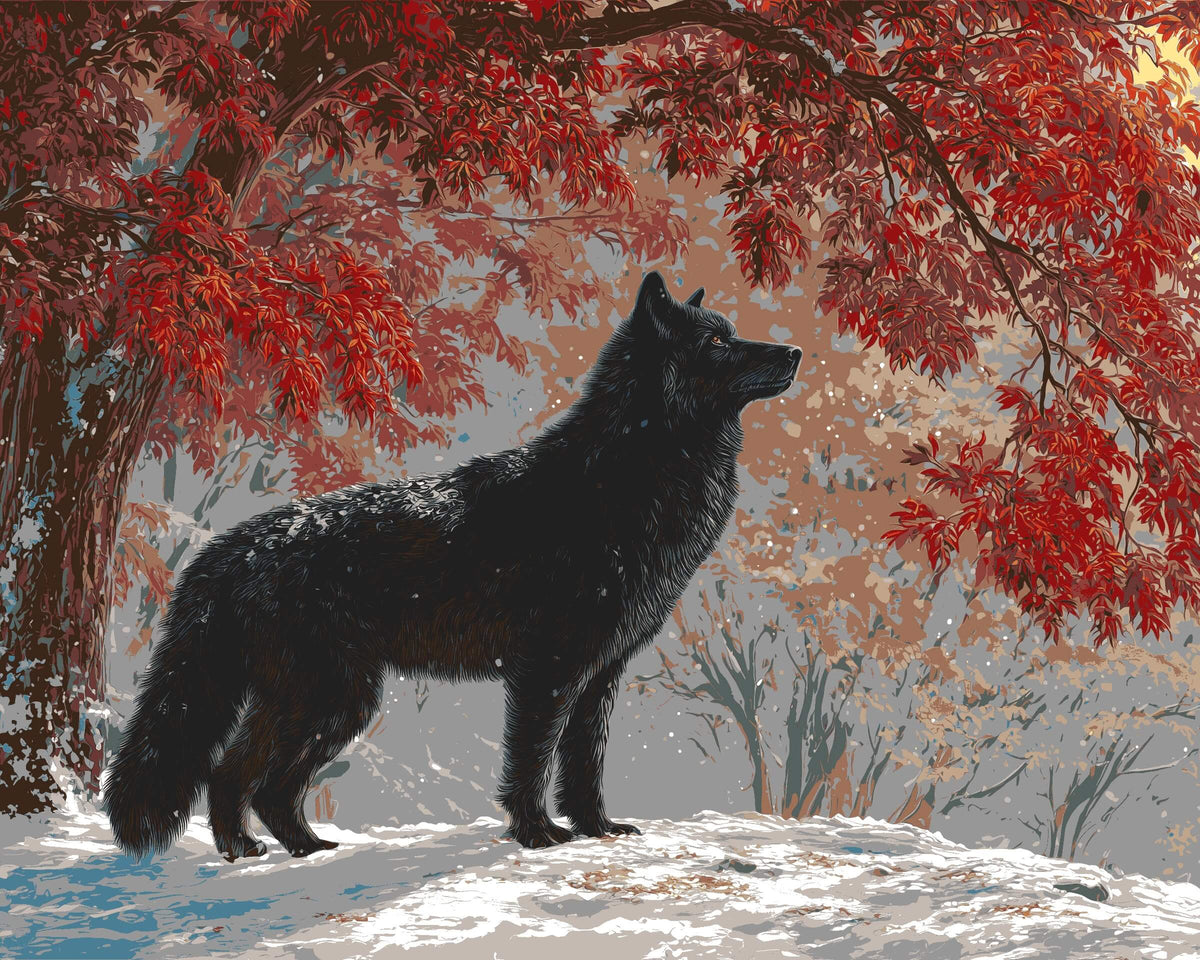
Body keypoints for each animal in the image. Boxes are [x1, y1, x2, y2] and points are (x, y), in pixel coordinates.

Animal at [105, 272, 802, 861]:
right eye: (717, 341)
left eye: (731, 330)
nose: (794, 352)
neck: (626, 475)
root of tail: (228, 545)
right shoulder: (548, 671)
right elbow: (531, 761)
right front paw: (538, 834)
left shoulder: (599, 676)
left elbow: (585, 765)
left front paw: (596, 829)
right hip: (326, 697)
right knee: (233, 772)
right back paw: (248, 852)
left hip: (334, 702)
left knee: (261, 783)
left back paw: (301, 849)